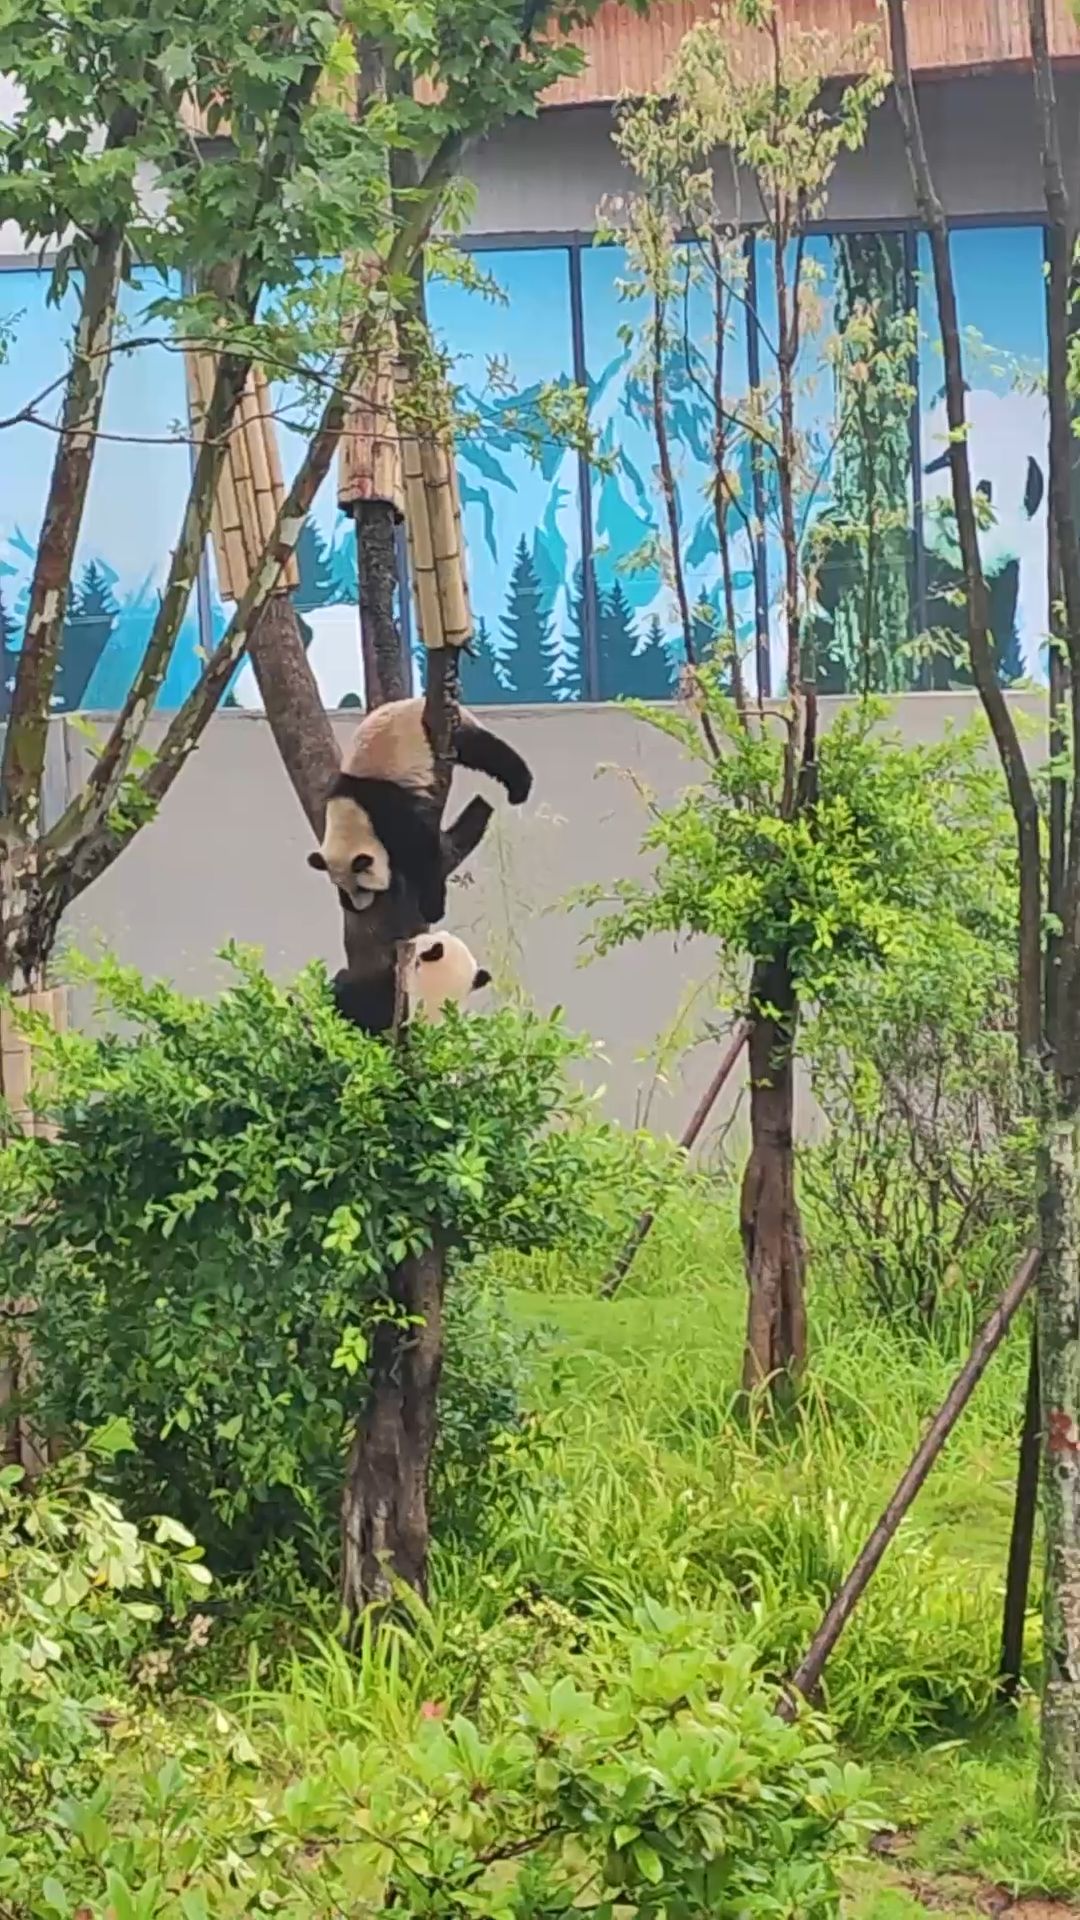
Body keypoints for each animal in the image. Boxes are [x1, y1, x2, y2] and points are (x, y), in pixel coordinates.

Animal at [308, 698, 532, 925]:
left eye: (362, 887)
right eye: (344, 887)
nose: (361, 906)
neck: (352, 810)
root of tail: (417, 700)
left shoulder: (388, 809)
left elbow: (422, 850)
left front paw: (432, 906)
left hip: (446, 734)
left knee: (484, 749)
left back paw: (519, 789)